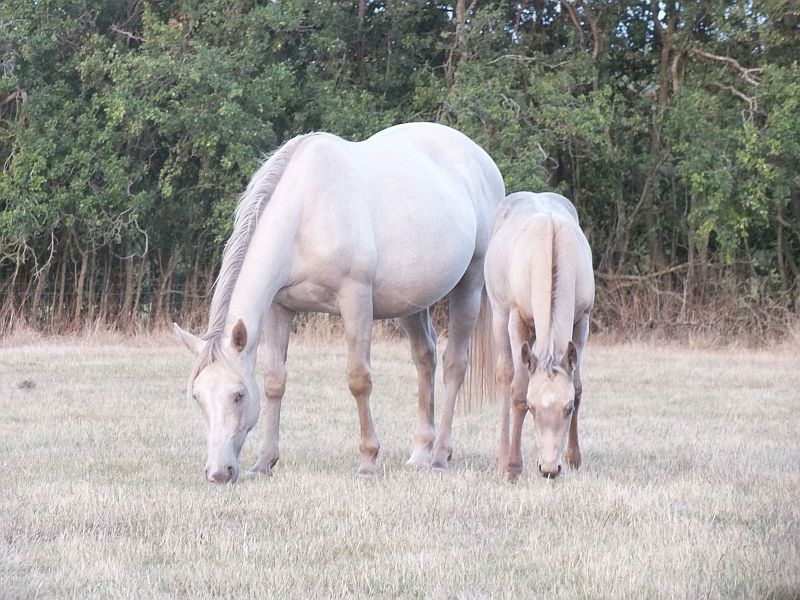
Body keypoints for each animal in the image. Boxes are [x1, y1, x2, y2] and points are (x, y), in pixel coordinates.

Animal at [173, 122, 505, 483]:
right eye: (197, 397)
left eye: (238, 395)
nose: (219, 473)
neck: (305, 213)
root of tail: (480, 157)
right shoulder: (280, 308)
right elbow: (275, 380)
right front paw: (264, 462)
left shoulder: (355, 299)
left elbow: (359, 379)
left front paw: (369, 459)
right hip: (410, 301)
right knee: (424, 358)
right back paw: (420, 452)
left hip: (470, 282)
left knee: (454, 364)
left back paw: (441, 455)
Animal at [479, 191, 594, 479]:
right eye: (531, 407)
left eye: (568, 408)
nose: (550, 469)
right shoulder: (516, 319)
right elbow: (518, 390)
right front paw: (512, 466)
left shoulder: (582, 320)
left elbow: (578, 386)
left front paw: (574, 458)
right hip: (499, 315)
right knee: (505, 375)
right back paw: (502, 454)